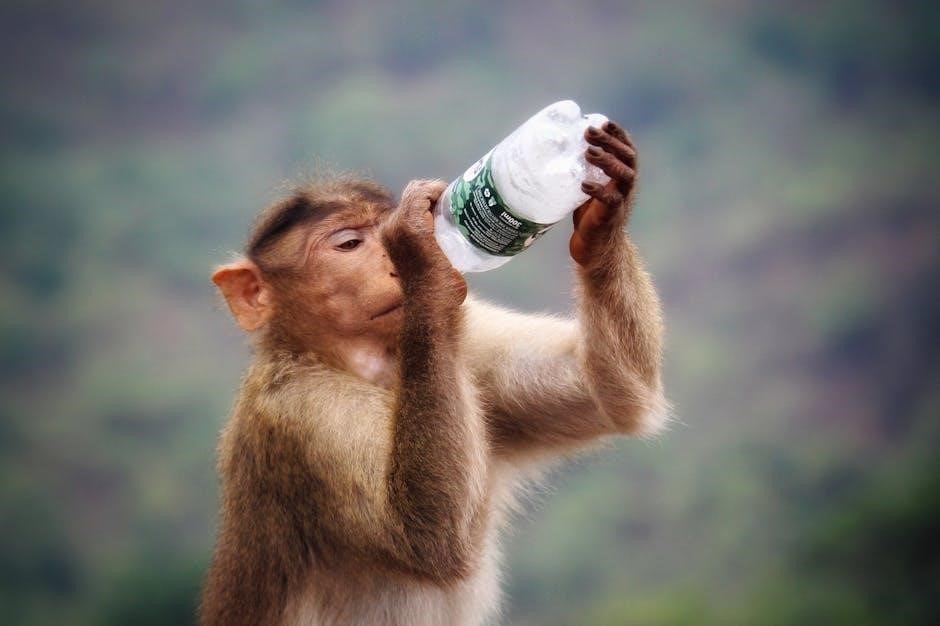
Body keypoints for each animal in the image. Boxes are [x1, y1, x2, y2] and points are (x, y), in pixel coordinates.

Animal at [200, 120, 666, 626]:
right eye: (349, 244)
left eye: (375, 231)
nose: (390, 263)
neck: (360, 364)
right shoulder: (299, 411)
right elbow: (427, 535)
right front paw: (420, 252)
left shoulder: (470, 339)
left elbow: (610, 394)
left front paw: (604, 212)